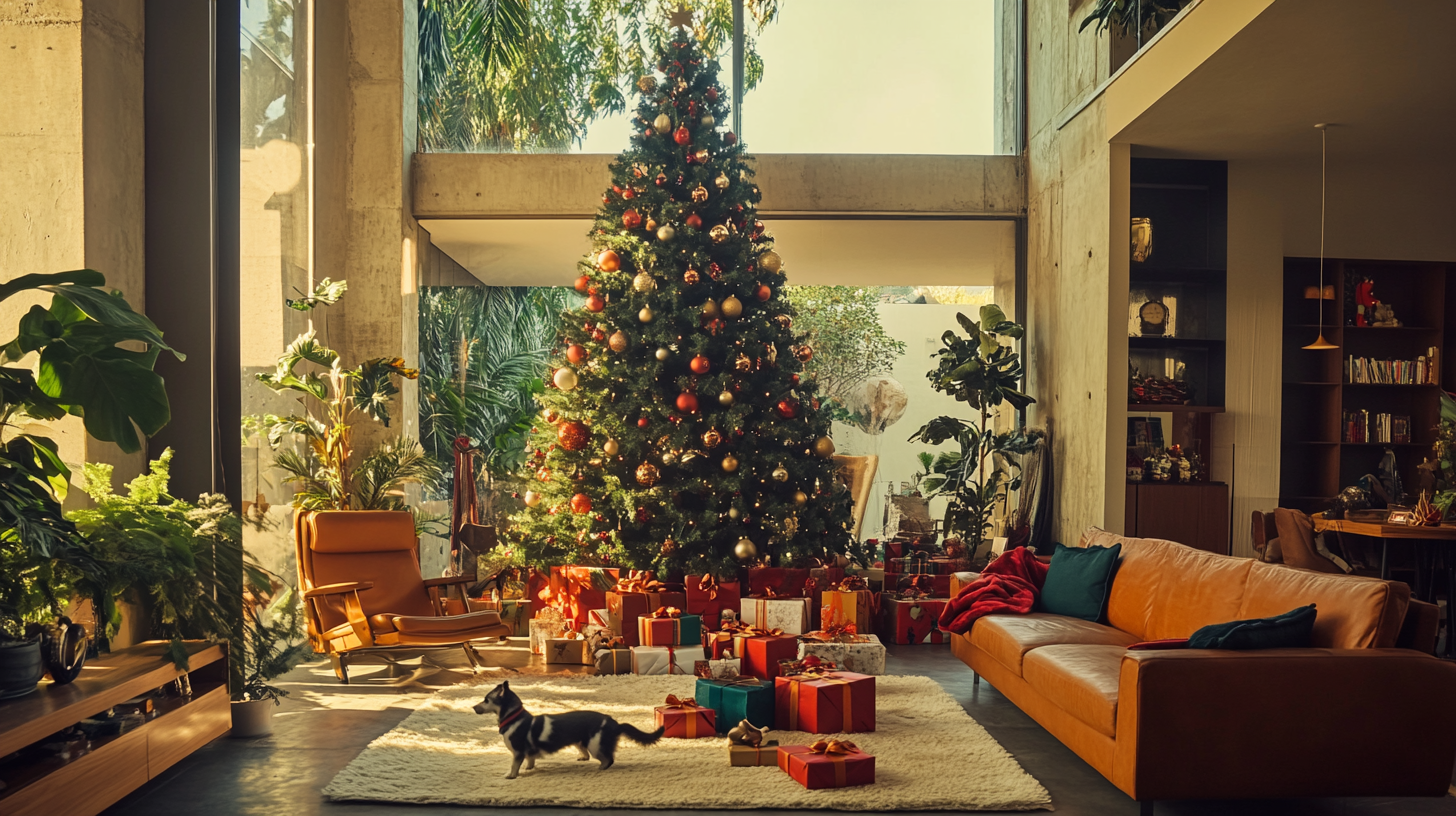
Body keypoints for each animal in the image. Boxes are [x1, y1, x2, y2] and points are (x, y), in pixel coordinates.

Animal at [474, 676, 663, 775]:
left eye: (486, 700)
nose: (473, 707)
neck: (513, 717)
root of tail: (615, 723)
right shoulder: (527, 752)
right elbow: (530, 760)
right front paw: (529, 768)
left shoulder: (518, 752)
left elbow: (514, 766)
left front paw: (510, 776)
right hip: (581, 742)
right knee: (589, 753)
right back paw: (584, 759)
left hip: (595, 745)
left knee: (608, 759)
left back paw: (600, 768)